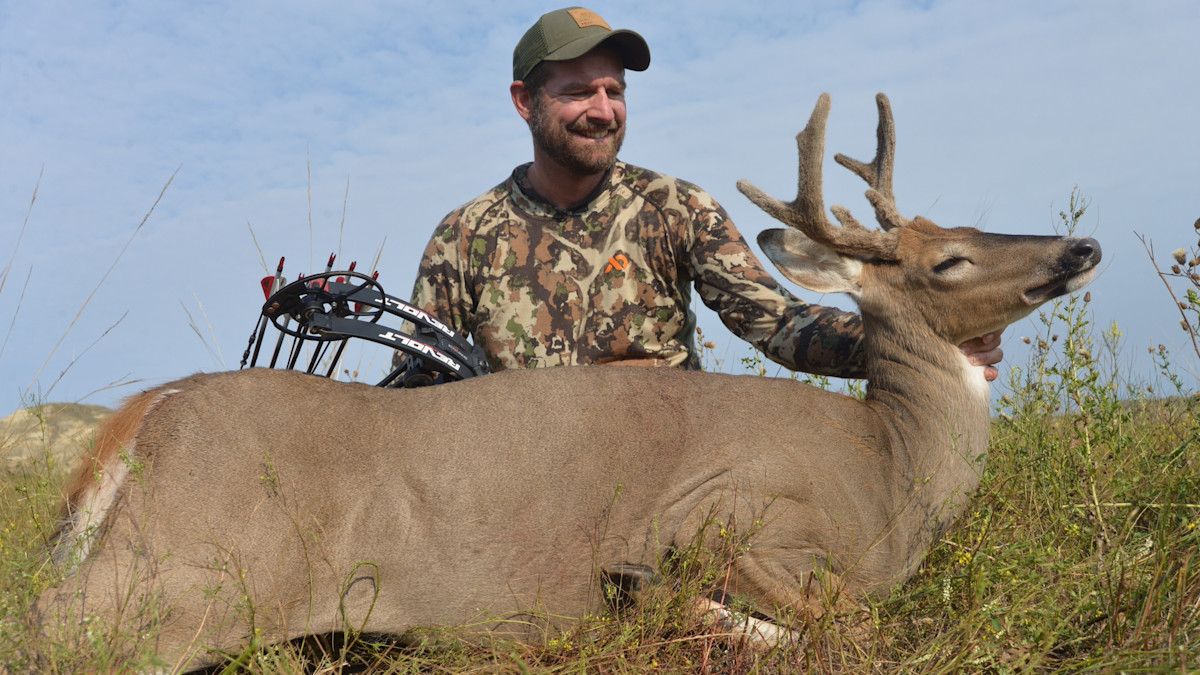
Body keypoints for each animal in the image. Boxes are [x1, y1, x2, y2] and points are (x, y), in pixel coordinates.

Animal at [29, 93, 1100, 671]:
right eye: (949, 259)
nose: (1079, 248)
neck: (892, 472)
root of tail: (146, 416)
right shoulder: (728, 511)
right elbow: (852, 622)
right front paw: (685, 610)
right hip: (185, 581)